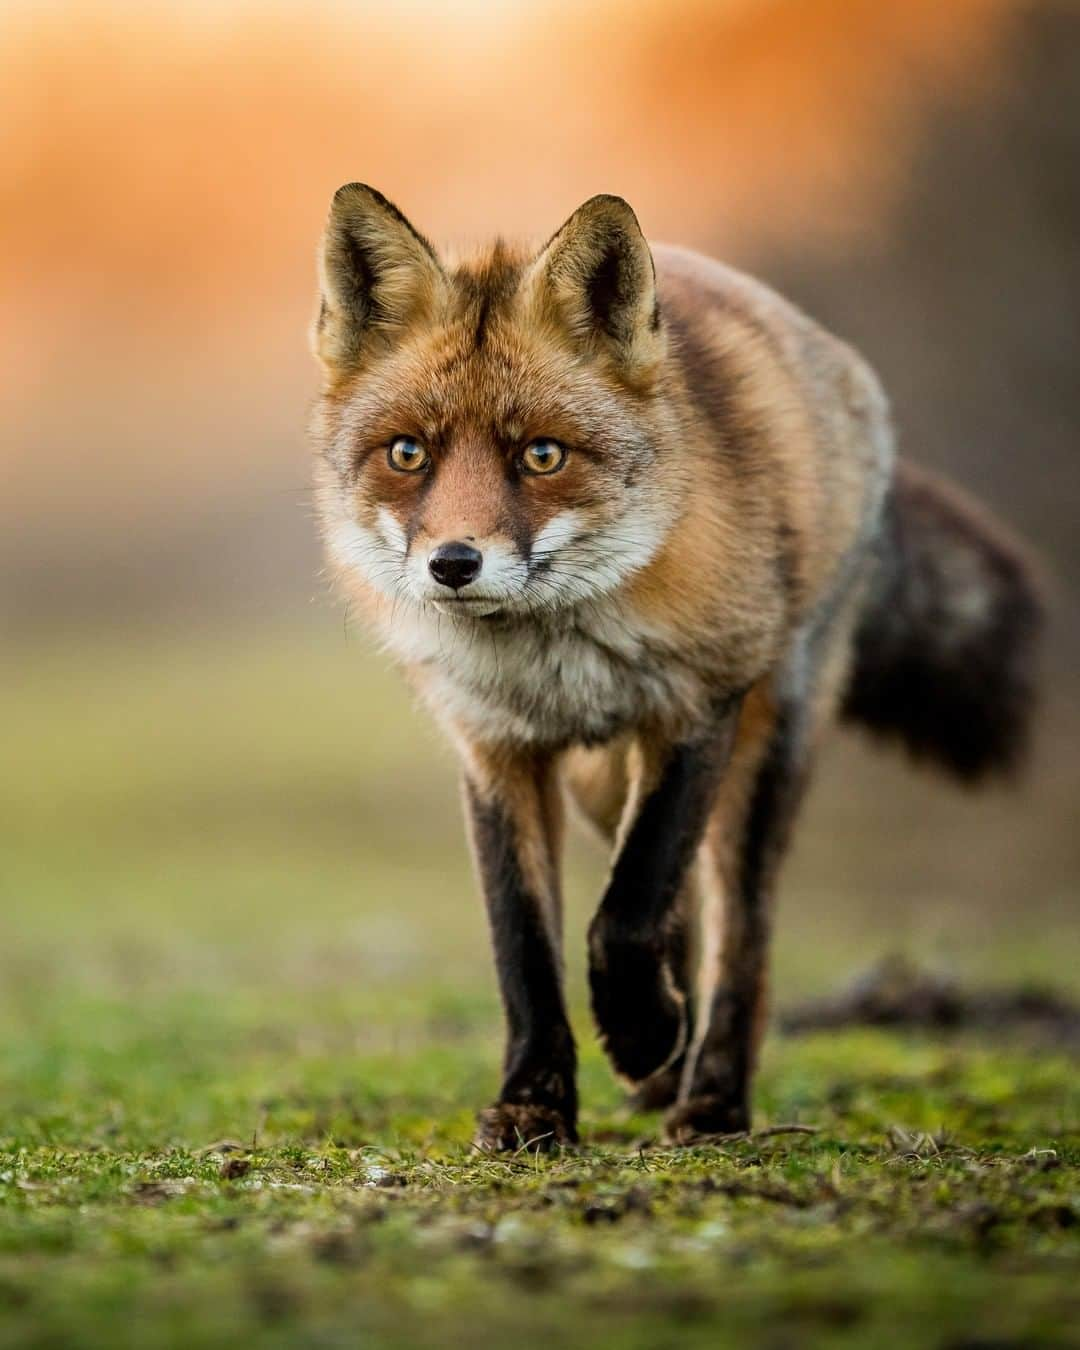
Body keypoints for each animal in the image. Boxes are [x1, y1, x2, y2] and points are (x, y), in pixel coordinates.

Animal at [307, 182, 1042, 1150]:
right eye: (407, 453)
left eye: (542, 454)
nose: (454, 564)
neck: (554, 661)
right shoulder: (497, 749)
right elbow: (527, 948)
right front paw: (536, 1102)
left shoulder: (698, 707)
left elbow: (625, 915)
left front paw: (642, 1030)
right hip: (599, 784)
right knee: (681, 912)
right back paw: (663, 1068)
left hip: (768, 750)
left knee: (738, 932)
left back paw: (709, 1095)